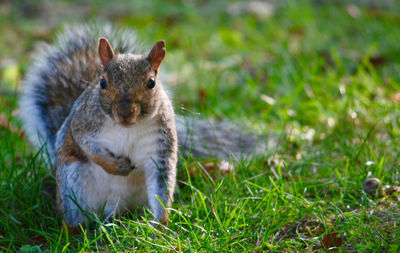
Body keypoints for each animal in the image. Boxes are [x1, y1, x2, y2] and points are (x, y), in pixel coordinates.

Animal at [19, 24, 266, 228]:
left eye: (151, 83)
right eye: (102, 82)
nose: (125, 114)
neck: (128, 128)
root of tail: (114, 208)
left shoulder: (161, 146)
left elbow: (162, 187)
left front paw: (161, 227)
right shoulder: (83, 124)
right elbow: (86, 144)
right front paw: (116, 166)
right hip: (73, 186)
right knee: (74, 216)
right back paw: (76, 231)